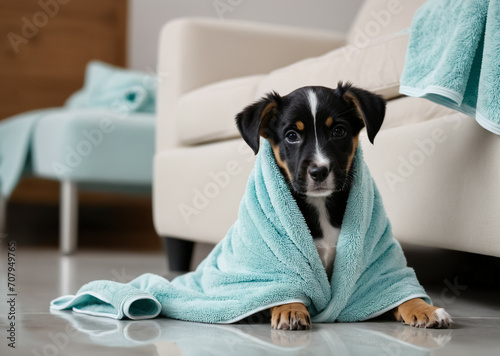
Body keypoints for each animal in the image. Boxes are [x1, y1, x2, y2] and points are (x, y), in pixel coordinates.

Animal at [236, 82, 452, 330]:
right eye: (291, 136)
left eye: (338, 131)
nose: (319, 172)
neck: (321, 205)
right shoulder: (281, 267)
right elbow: (285, 286)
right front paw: (290, 309)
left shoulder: (379, 270)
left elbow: (399, 293)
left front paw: (425, 309)